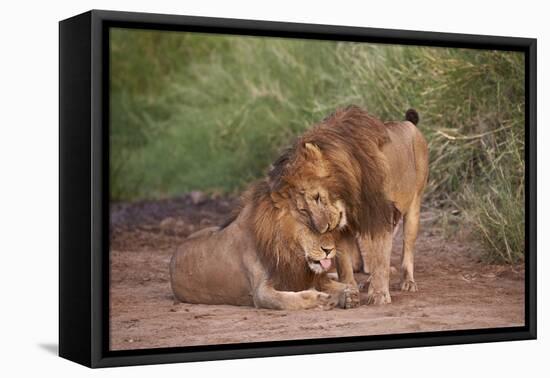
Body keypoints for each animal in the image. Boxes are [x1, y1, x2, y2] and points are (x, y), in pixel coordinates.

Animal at [170, 180, 360, 310]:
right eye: (310, 227)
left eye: (330, 227)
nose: (329, 250)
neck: (289, 251)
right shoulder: (260, 292)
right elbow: (288, 300)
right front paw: (321, 299)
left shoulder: (304, 276)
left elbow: (337, 285)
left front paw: (349, 295)